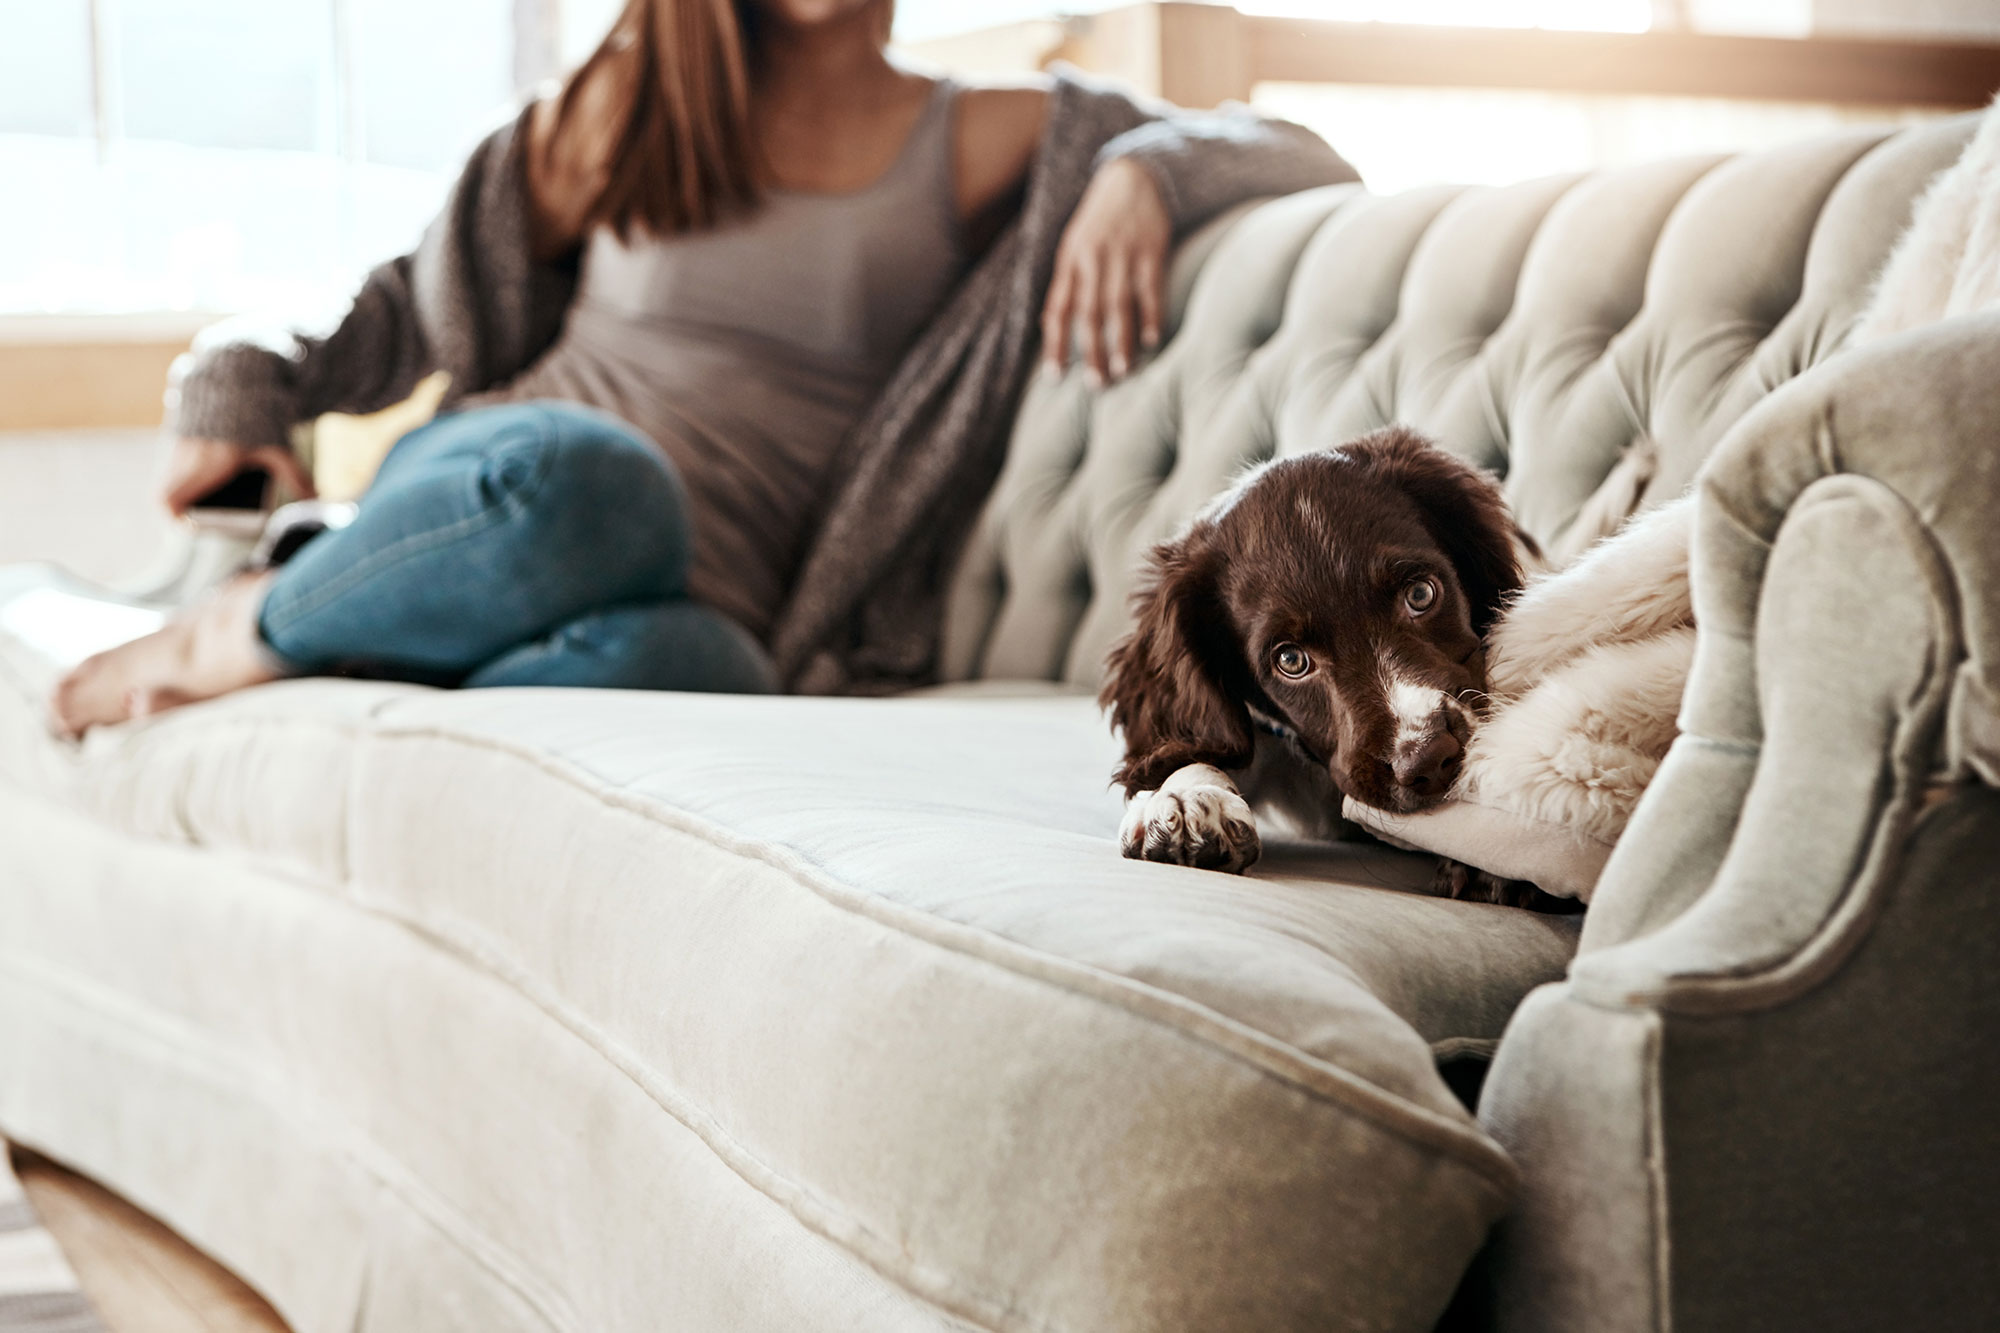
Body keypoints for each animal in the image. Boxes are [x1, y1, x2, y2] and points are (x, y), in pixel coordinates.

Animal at [1112, 426, 1544, 904]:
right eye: (1291, 660)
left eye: (1421, 594)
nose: (1428, 758)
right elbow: (1195, 745)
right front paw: (1188, 797)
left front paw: (1490, 851)